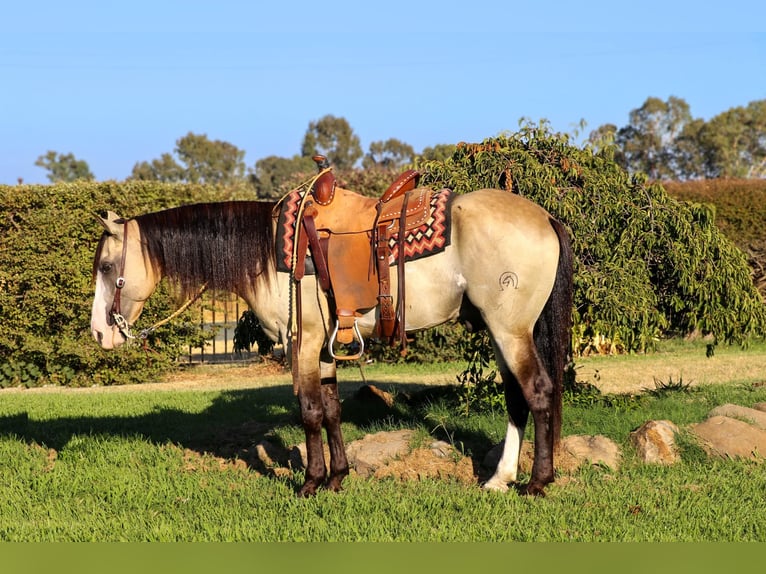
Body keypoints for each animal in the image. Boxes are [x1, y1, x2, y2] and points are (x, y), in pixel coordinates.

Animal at [90, 164, 572, 498]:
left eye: (107, 267)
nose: (98, 333)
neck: (271, 251)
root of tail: (546, 217)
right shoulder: (323, 347)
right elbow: (332, 408)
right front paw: (338, 477)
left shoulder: (300, 343)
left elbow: (309, 411)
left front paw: (310, 482)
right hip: (500, 332)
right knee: (516, 398)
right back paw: (500, 478)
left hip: (510, 331)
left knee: (539, 392)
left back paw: (537, 482)